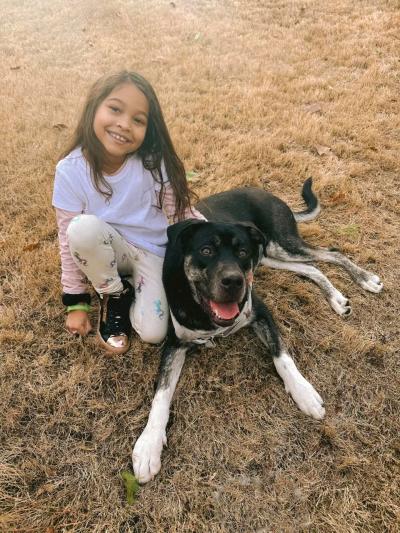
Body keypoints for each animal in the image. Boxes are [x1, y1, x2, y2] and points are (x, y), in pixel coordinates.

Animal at [133, 179, 382, 482]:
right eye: (206, 251)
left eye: (241, 252)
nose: (233, 281)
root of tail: (267, 193)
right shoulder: (175, 342)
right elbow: (161, 392)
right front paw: (149, 444)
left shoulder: (261, 312)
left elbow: (282, 356)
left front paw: (303, 392)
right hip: (269, 255)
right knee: (311, 268)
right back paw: (336, 298)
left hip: (278, 244)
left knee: (330, 254)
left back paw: (364, 279)